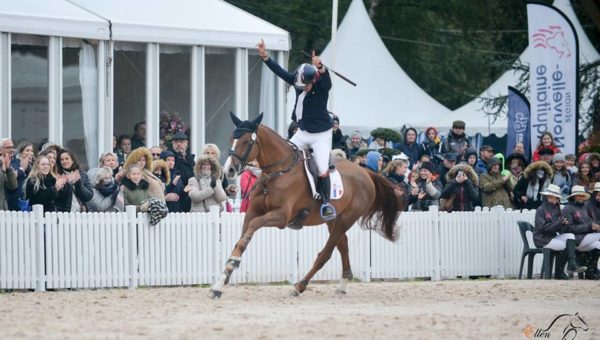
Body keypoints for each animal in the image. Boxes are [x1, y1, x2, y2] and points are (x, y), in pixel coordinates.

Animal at [209, 113, 406, 298]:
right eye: (231, 139)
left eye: (245, 141)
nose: (228, 170)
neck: (276, 173)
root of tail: (366, 172)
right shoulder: (252, 212)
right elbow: (241, 239)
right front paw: (220, 282)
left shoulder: (281, 217)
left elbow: (251, 228)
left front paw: (232, 264)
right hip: (333, 220)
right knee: (343, 245)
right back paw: (342, 285)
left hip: (345, 220)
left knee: (326, 253)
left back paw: (299, 286)